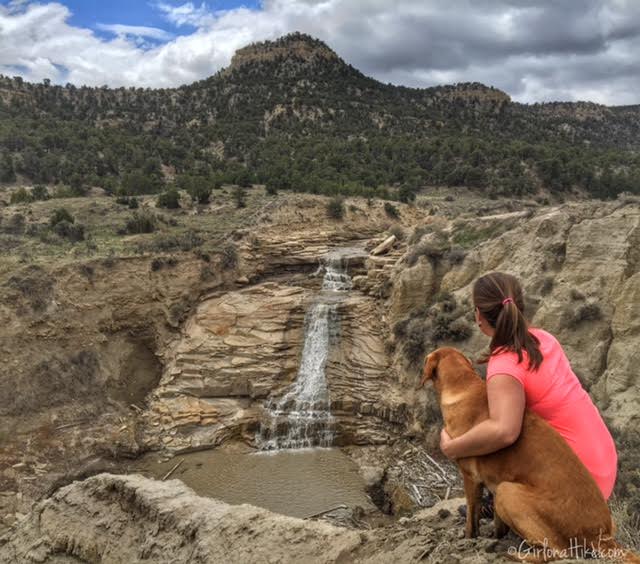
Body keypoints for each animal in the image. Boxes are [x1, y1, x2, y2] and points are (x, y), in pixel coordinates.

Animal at [418, 346, 636, 560]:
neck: (463, 385)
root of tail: (601, 535)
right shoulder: (491, 482)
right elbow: (497, 523)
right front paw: (495, 536)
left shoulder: (470, 477)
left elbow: (472, 517)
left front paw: (469, 537)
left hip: (508, 491)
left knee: (558, 551)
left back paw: (515, 555)